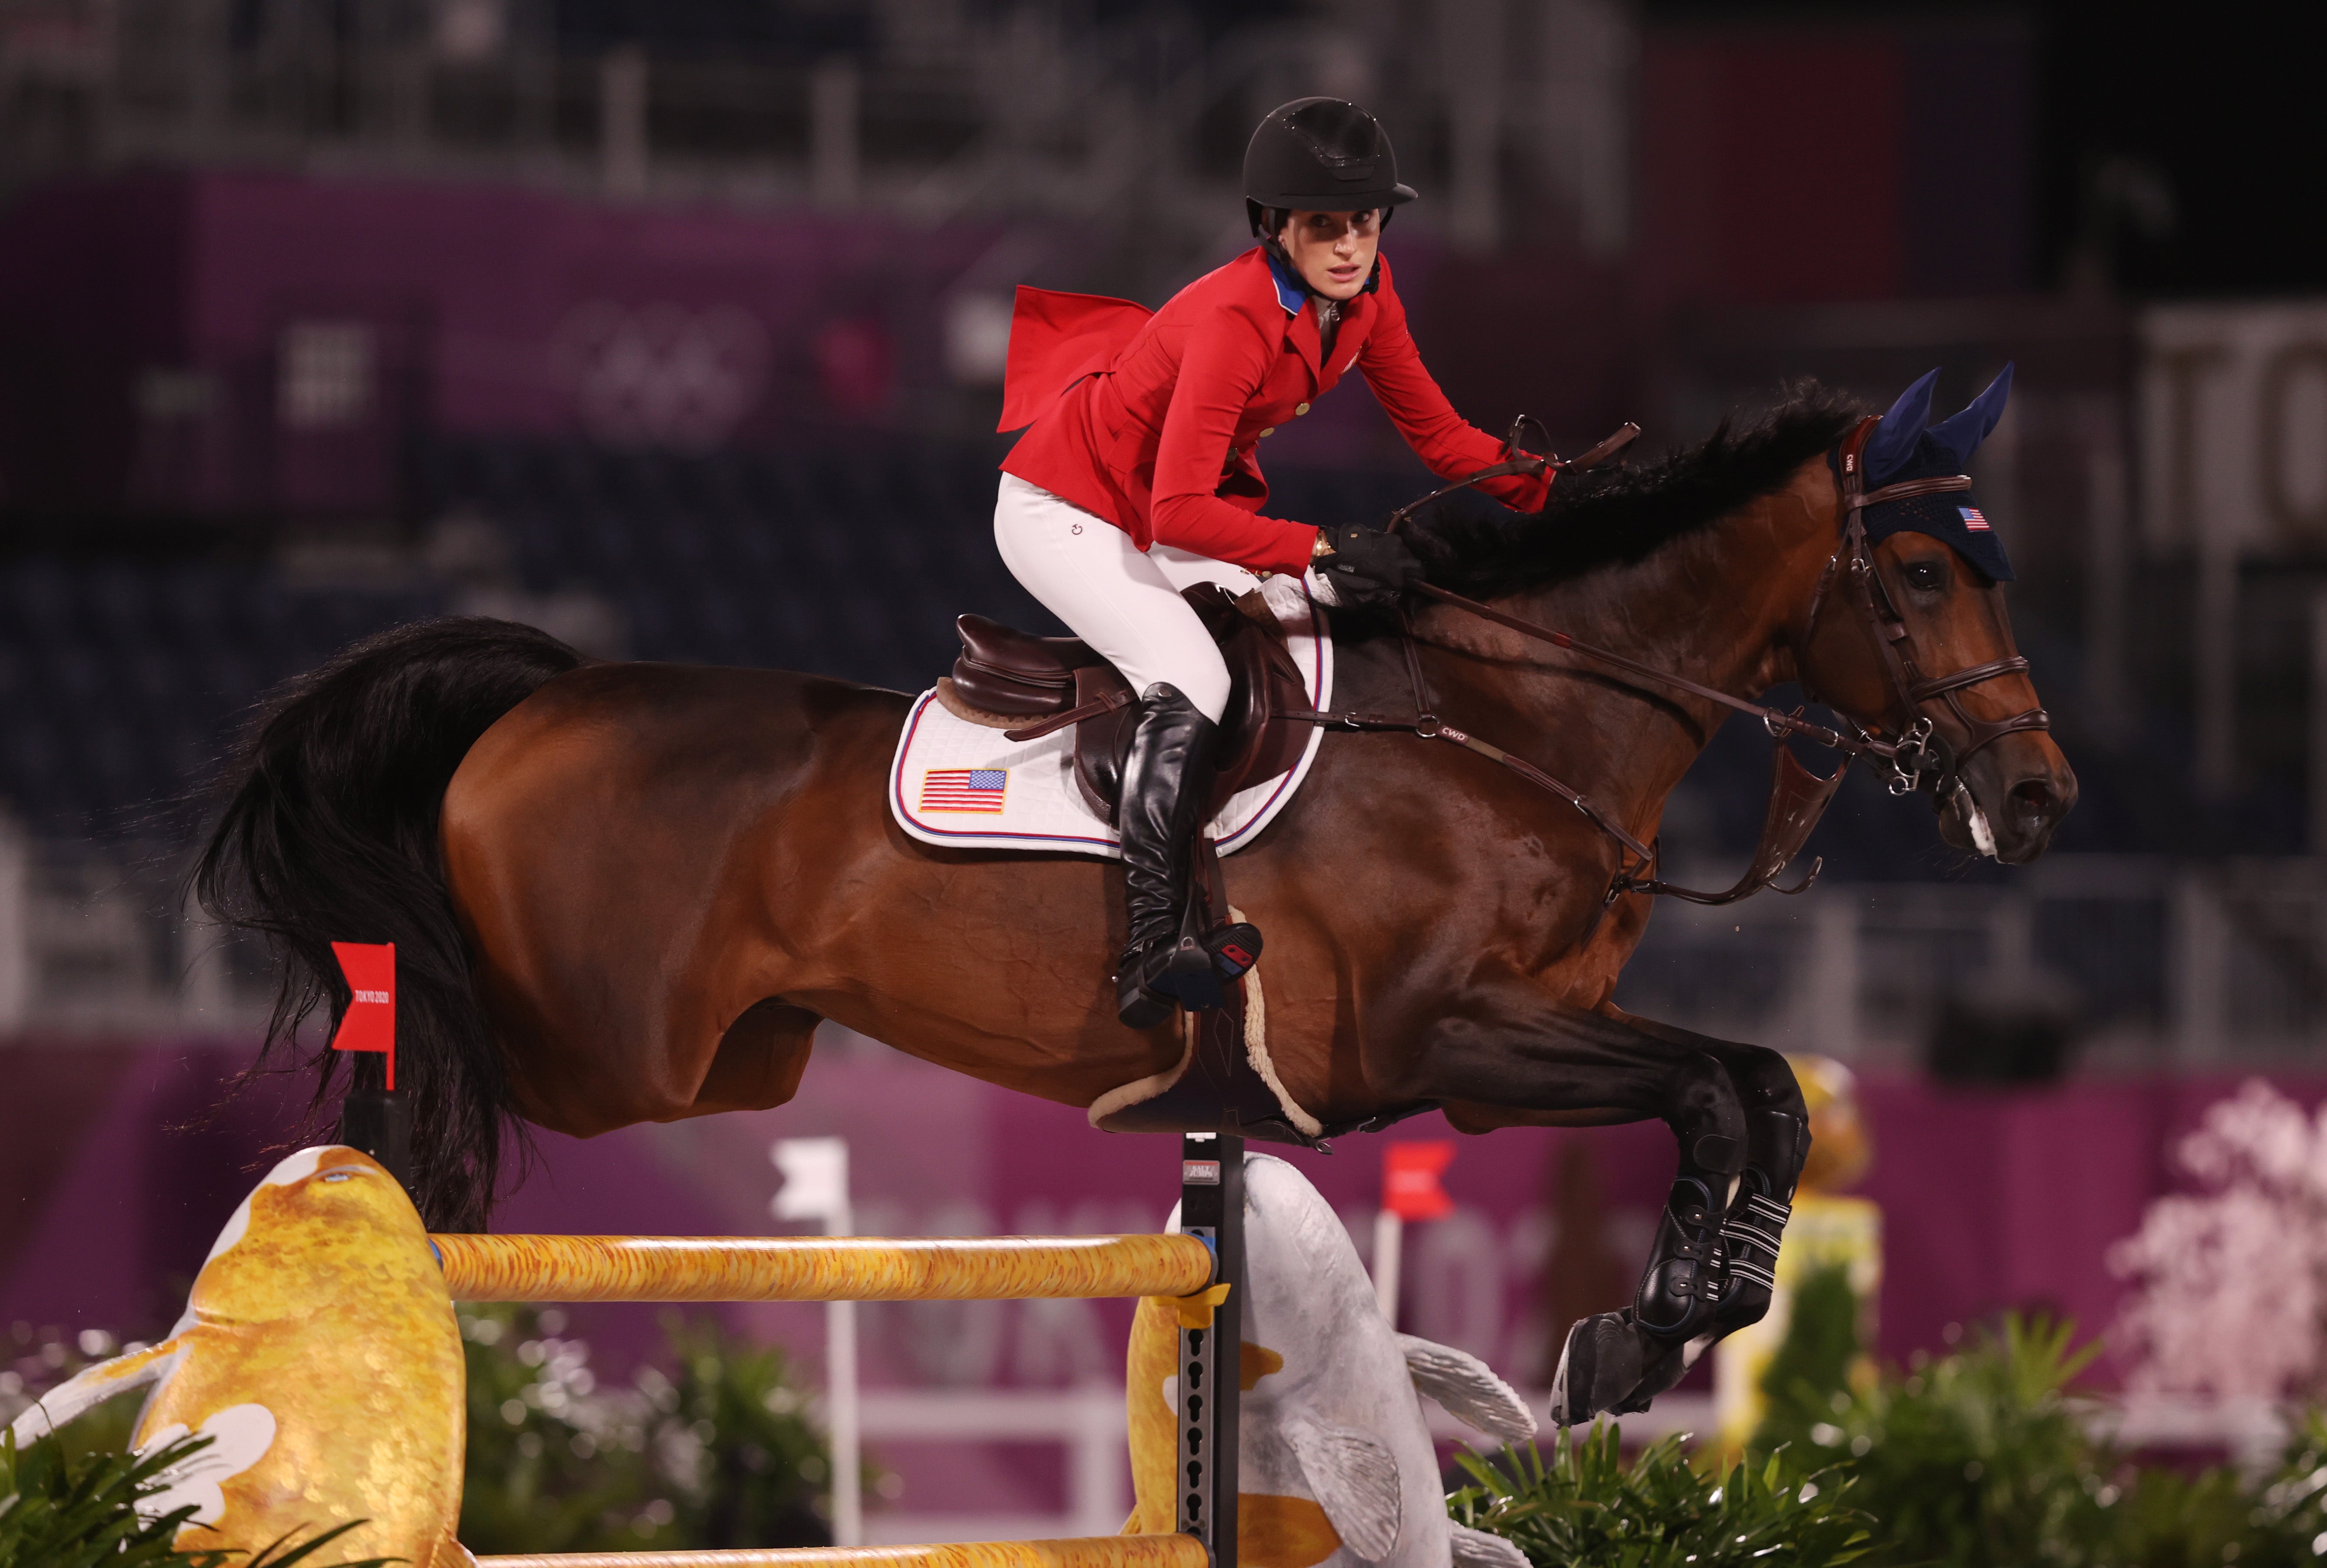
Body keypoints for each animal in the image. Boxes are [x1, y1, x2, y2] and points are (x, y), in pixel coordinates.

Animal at [209, 374, 2085, 1414]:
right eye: (1926, 572)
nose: (2036, 799)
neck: (1512, 720)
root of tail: (539, 697)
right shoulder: (1450, 1041)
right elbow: (1723, 1089)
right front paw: (1643, 1332)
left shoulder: (1529, 1042)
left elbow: (1756, 1096)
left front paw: (1661, 1327)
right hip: (611, 1053)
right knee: (409, 1090)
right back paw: (335, 1246)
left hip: (726, 1055)